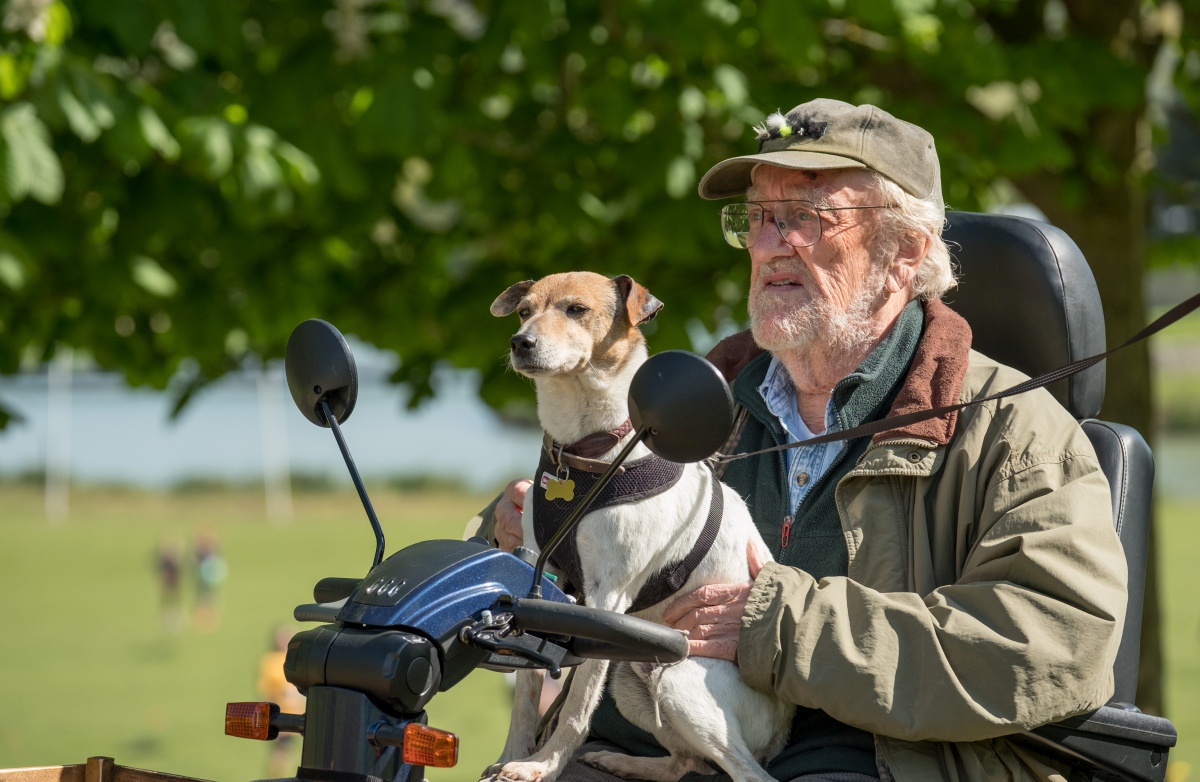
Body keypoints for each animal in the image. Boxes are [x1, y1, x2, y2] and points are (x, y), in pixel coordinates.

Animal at [482, 269, 792, 782]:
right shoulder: (541, 579)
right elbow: (526, 697)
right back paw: (623, 761)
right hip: (631, 676)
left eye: (577, 310)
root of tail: (781, 731)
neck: (582, 452)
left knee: (747, 773)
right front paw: (512, 757)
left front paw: (543, 765)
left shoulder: (606, 599)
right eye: (524, 311)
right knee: (686, 762)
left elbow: (575, 709)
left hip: (678, 681)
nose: (519, 343)